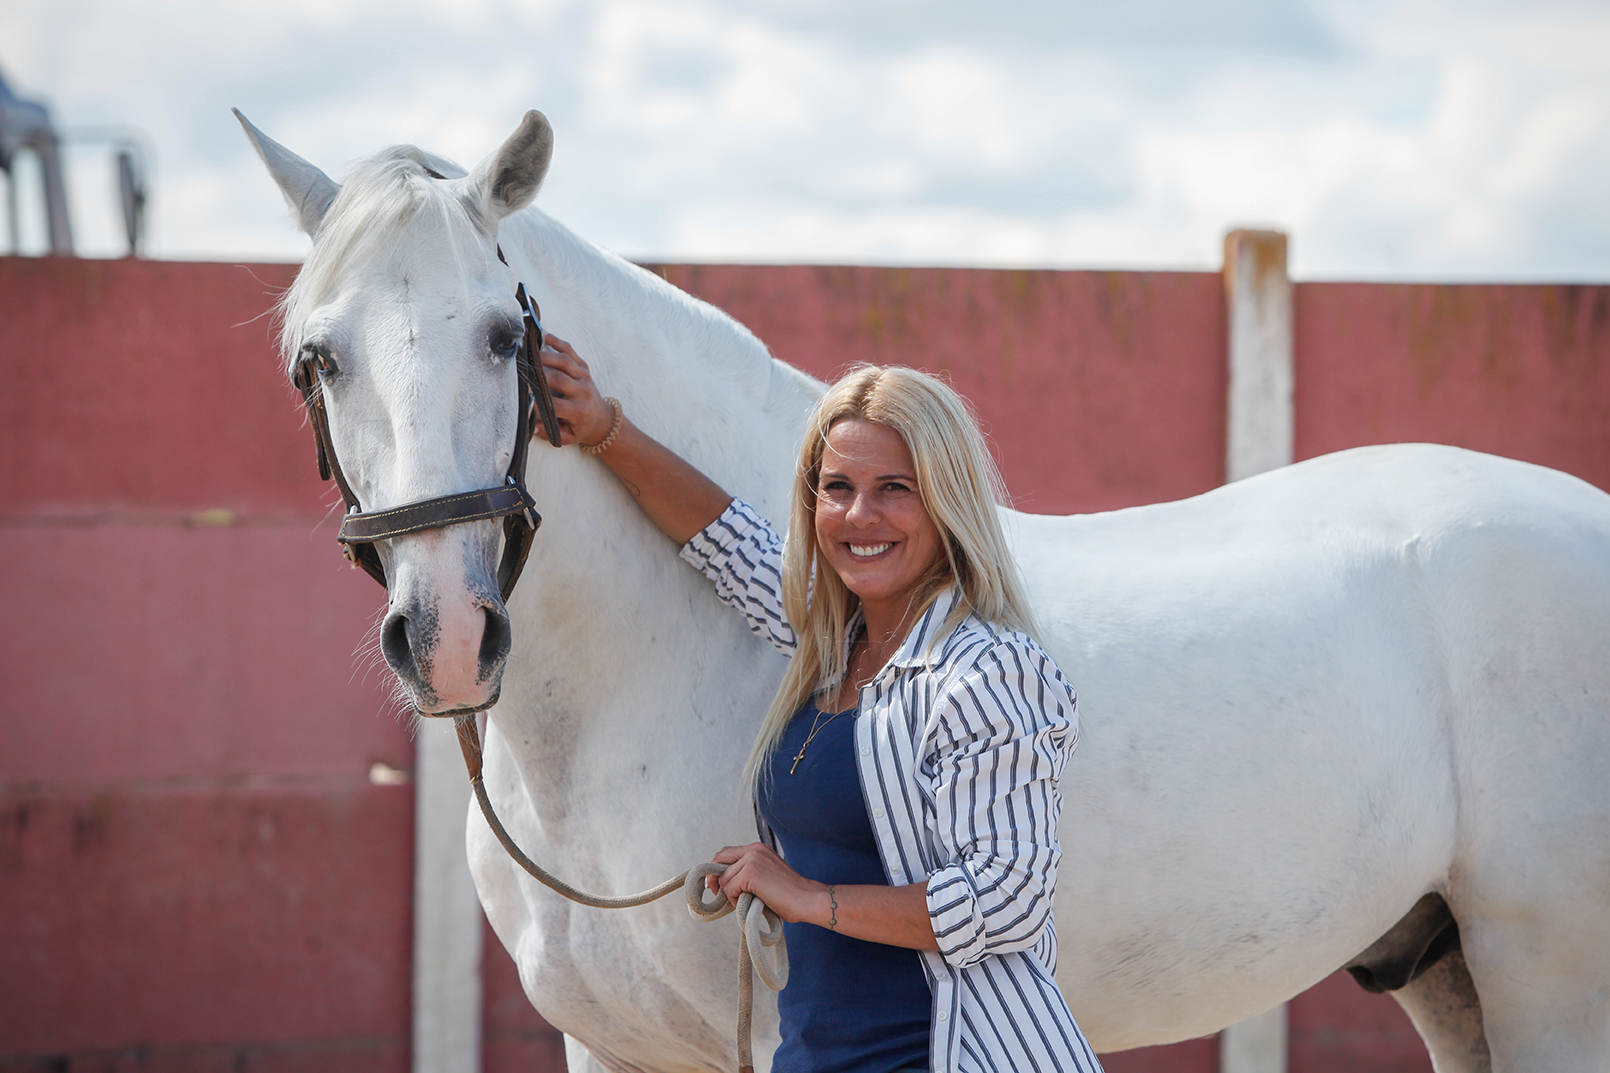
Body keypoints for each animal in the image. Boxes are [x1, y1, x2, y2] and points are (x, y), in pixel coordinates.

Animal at [241, 110, 1610, 1069]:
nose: (447, 634)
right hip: (1446, 968)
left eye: (501, 334)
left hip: (1548, 976)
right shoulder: (612, 1045)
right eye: (317, 356)